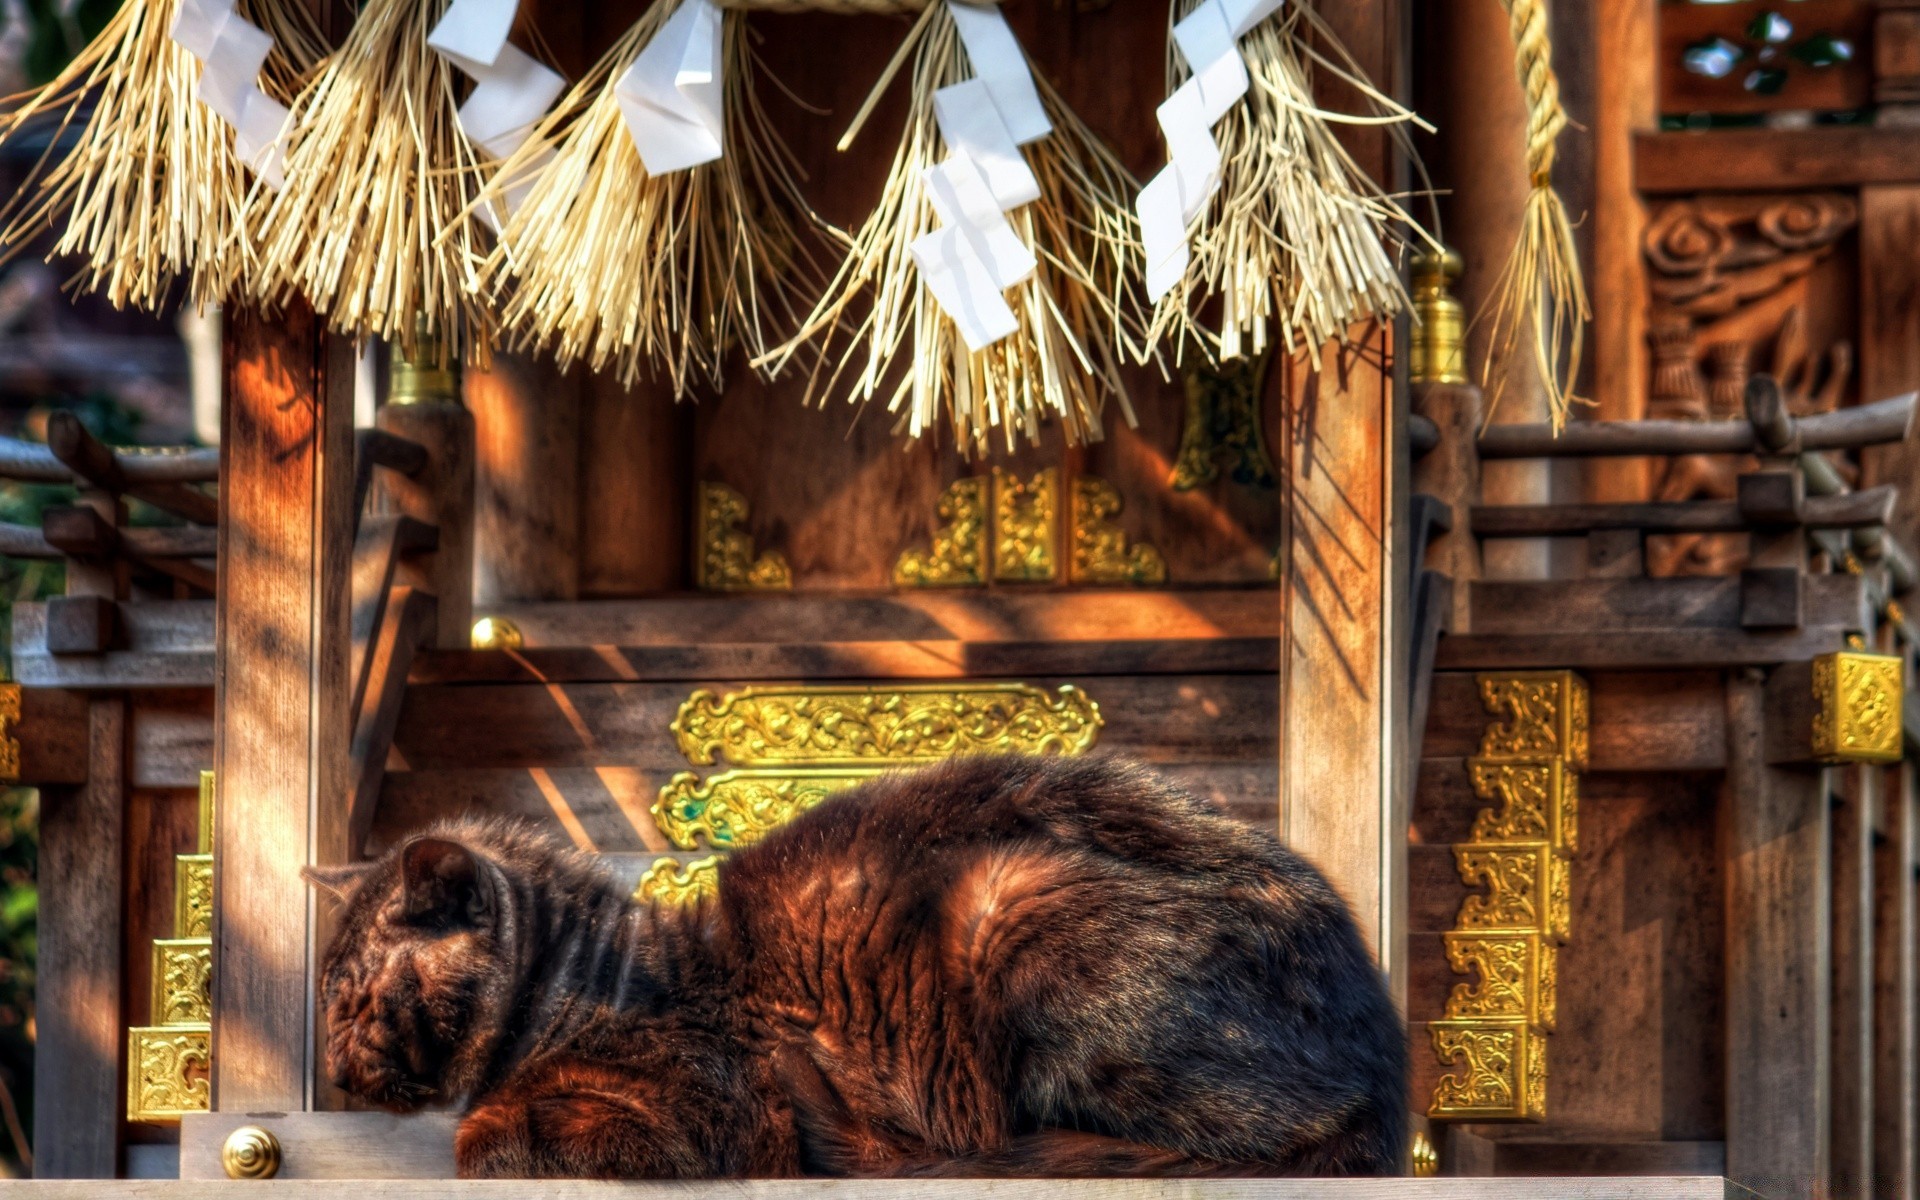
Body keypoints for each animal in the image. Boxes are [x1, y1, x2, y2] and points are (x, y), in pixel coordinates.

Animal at [307, 752, 1405, 1175]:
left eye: (358, 1000)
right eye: (327, 1003)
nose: (329, 1064)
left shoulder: (704, 1115)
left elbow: (485, 1135)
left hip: (1007, 901)